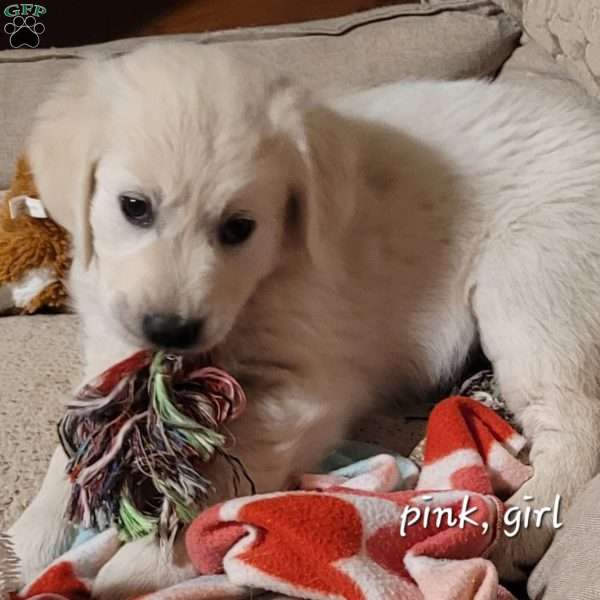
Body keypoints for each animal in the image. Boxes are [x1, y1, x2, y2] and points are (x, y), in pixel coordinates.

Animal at [9, 41, 600, 596]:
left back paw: (518, 530)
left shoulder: (308, 388)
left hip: (533, 287)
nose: (169, 332)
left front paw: (144, 564)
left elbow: (223, 476)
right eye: (134, 207)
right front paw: (33, 536)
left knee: (576, 424)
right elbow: (84, 438)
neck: (265, 278)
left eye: (239, 227)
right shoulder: (114, 342)